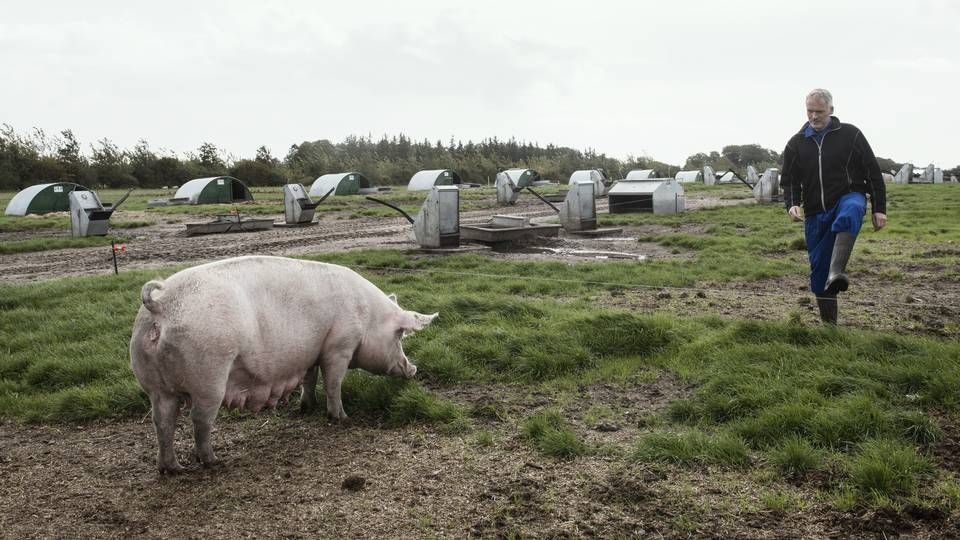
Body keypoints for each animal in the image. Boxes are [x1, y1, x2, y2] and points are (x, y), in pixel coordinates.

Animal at [128, 256, 438, 472]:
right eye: (399, 335)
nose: (414, 369)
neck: (368, 316)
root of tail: (160, 305)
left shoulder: (312, 352)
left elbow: (310, 379)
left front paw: (306, 408)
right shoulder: (339, 346)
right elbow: (334, 382)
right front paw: (341, 418)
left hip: (155, 386)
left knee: (162, 422)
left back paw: (172, 469)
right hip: (209, 377)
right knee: (199, 420)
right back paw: (214, 462)